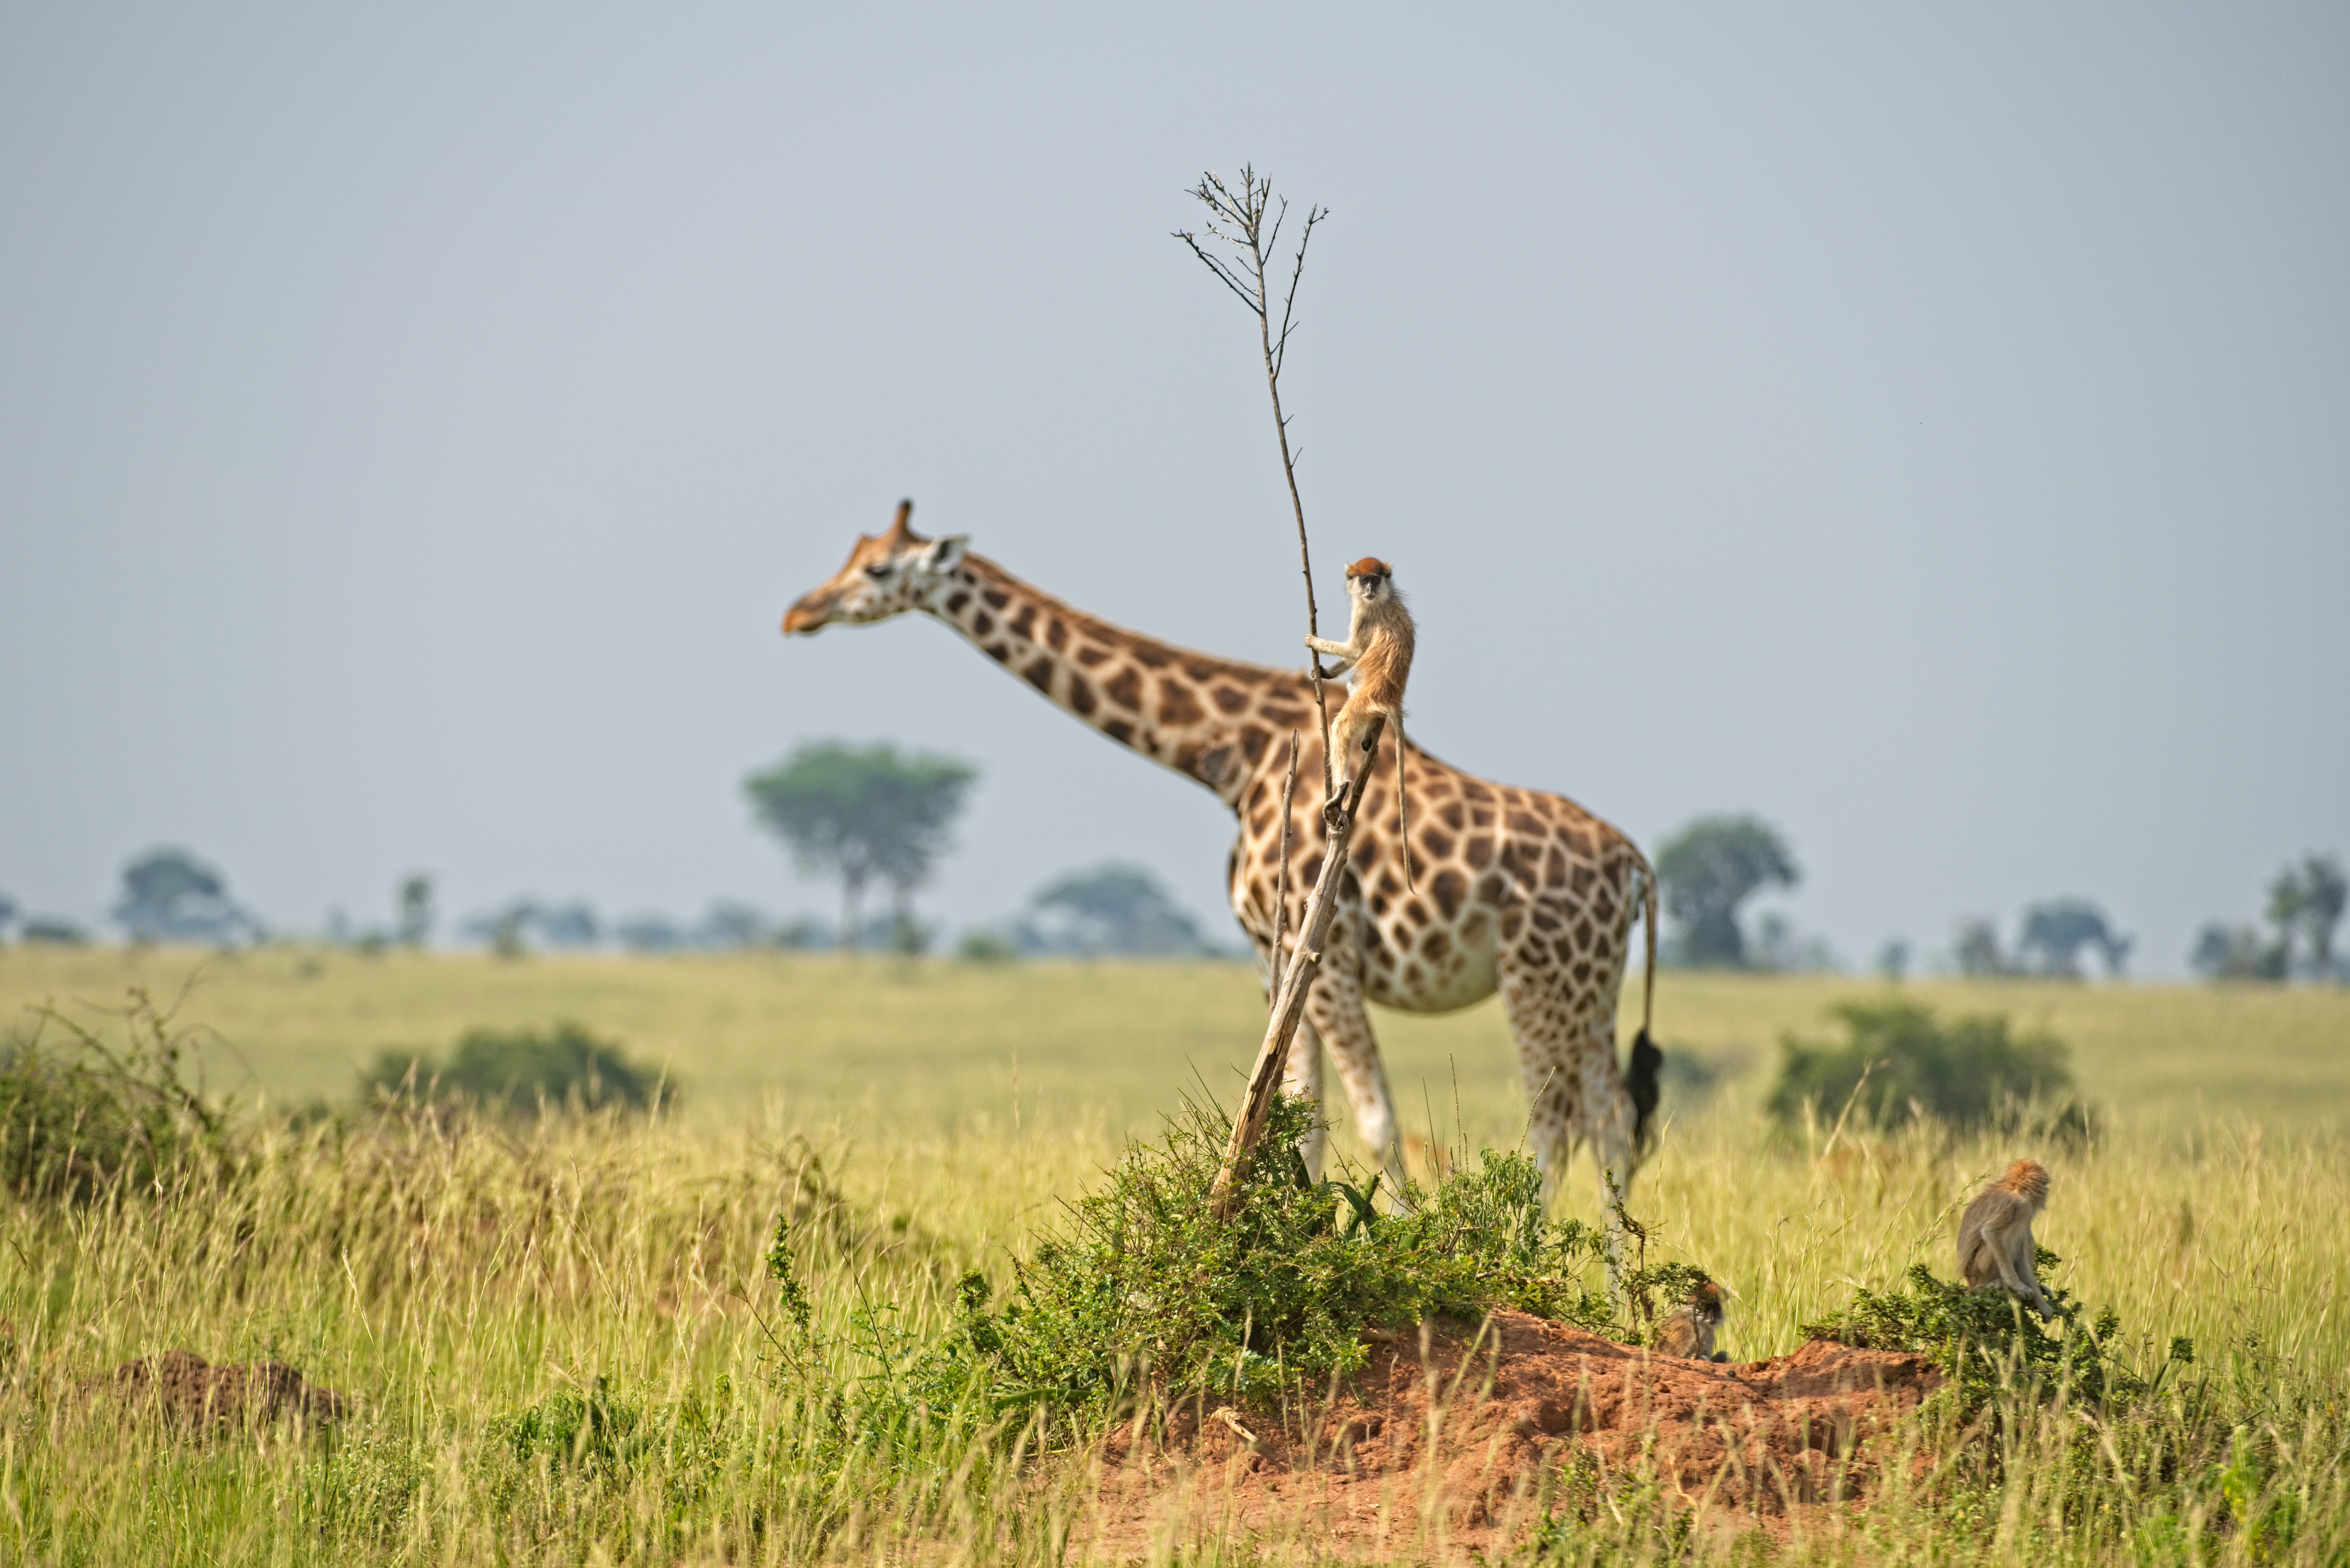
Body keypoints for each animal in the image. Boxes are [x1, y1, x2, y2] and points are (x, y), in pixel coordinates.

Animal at [1307, 562, 1410, 884]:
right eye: (1364, 579)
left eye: (1375, 579)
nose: (1369, 589)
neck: (1383, 598)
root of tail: (1390, 697)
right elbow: (1356, 656)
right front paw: (1324, 673)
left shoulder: (1364, 616)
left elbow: (1355, 651)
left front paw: (1314, 642)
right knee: (1354, 684)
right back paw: (1371, 733)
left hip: (1364, 701)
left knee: (1341, 726)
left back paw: (1340, 791)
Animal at [1955, 1161, 2049, 1316]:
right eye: (2045, 1184)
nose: (2047, 1190)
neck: (2015, 1188)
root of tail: (1969, 1280)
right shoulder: (2018, 1206)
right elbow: (1991, 1233)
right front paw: (2017, 1286)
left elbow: (2023, 1250)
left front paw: (2041, 1303)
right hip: (1978, 1268)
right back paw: (1983, 1288)